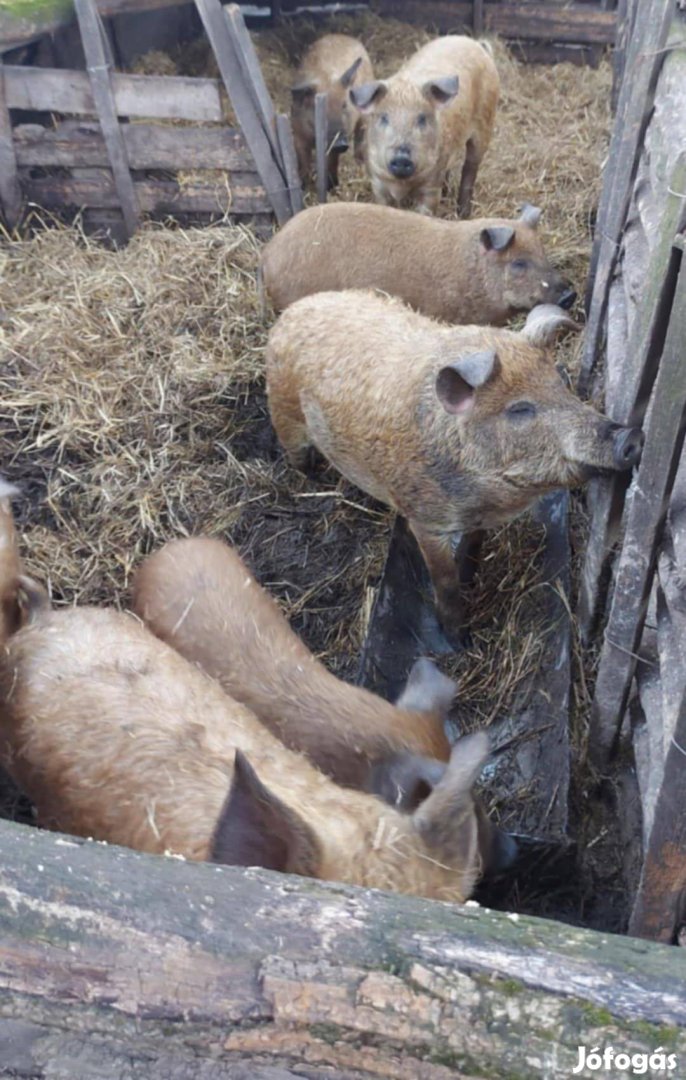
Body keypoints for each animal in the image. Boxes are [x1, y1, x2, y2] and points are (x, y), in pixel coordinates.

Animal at [266, 293, 643, 639]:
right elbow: (444, 580)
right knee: (296, 454)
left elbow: (473, 546)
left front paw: (470, 577)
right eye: (520, 409)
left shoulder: (478, 518)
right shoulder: (425, 520)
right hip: (285, 415)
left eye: (560, 385)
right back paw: (312, 477)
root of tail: (291, 313)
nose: (631, 436)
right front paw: (456, 638)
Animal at [291, 33, 375, 190]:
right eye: (320, 109)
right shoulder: (297, 132)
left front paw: (331, 186)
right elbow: (303, 159)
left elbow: (331, 160)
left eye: (344, 105)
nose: (340, 142)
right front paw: (303, 185)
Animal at [352, 34, 501, 214]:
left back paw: (463, 213)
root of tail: (477, 44)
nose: (402, 157)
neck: (401, 185)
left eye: (422, 118)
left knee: (470, 168)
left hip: (485, 124)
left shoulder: (431, 187)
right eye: (384, 118)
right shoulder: (377, 183)